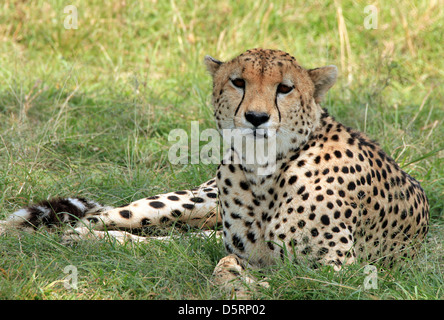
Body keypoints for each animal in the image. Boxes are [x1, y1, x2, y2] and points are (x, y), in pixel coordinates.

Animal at [0, 47, 430, 292]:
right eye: (238, 82)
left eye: (285, 88)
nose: (256, 118)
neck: (264, 172)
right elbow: (234, 264)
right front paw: (236, 282)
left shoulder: (337, 271)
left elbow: (276, 273)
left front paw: (241, 284)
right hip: (184, 204)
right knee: (104, 218)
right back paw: (68, 237)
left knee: (171, 242)